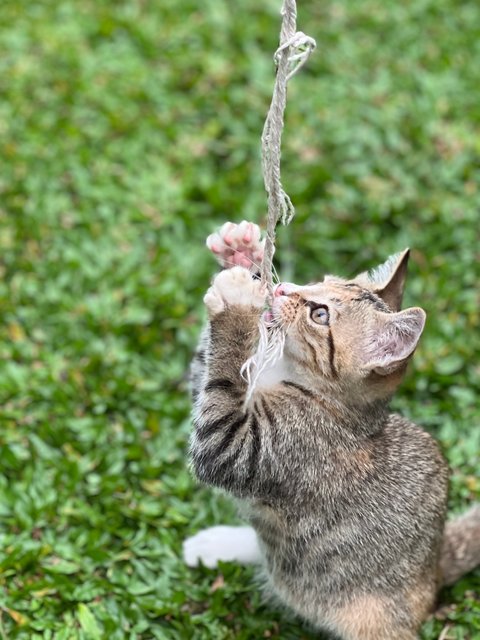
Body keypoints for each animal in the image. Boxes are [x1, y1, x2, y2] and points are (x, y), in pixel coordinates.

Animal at [185, 221, 480, 640]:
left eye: (320, 314)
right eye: (318, 282)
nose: (281, 288)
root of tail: (435, 568)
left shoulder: (242, 448)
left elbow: (220, 394)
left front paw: (236, 304)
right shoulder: (215, 392)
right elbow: (205, 372)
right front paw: (241, 251)